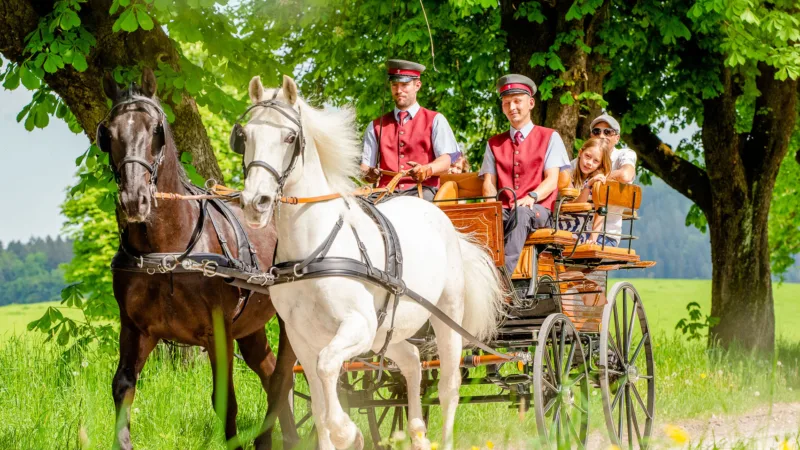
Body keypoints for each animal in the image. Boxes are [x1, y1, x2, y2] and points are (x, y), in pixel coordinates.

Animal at [99, 67, 296, 450]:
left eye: (155, 130)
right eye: (109, 134)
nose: (134, 200)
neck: (167, 251)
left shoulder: (218, 331)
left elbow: (225, 402)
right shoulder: (135, 328)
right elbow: (122, 388)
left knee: (285, 377)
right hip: (250, 327)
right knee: (271, 374)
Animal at [238, 75, 504, 450]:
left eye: (289, 137)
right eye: (245, 135)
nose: (254, 202)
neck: (313, 253)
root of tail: (438, 214)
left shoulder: (357, 326)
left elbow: (326, 368)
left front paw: (349, 431)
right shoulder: (303, 338)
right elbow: (319, 406)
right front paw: (339, 430)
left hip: (447, 317)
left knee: (448, 388)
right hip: (386, 333)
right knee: (411, 363)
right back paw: (417, 432)